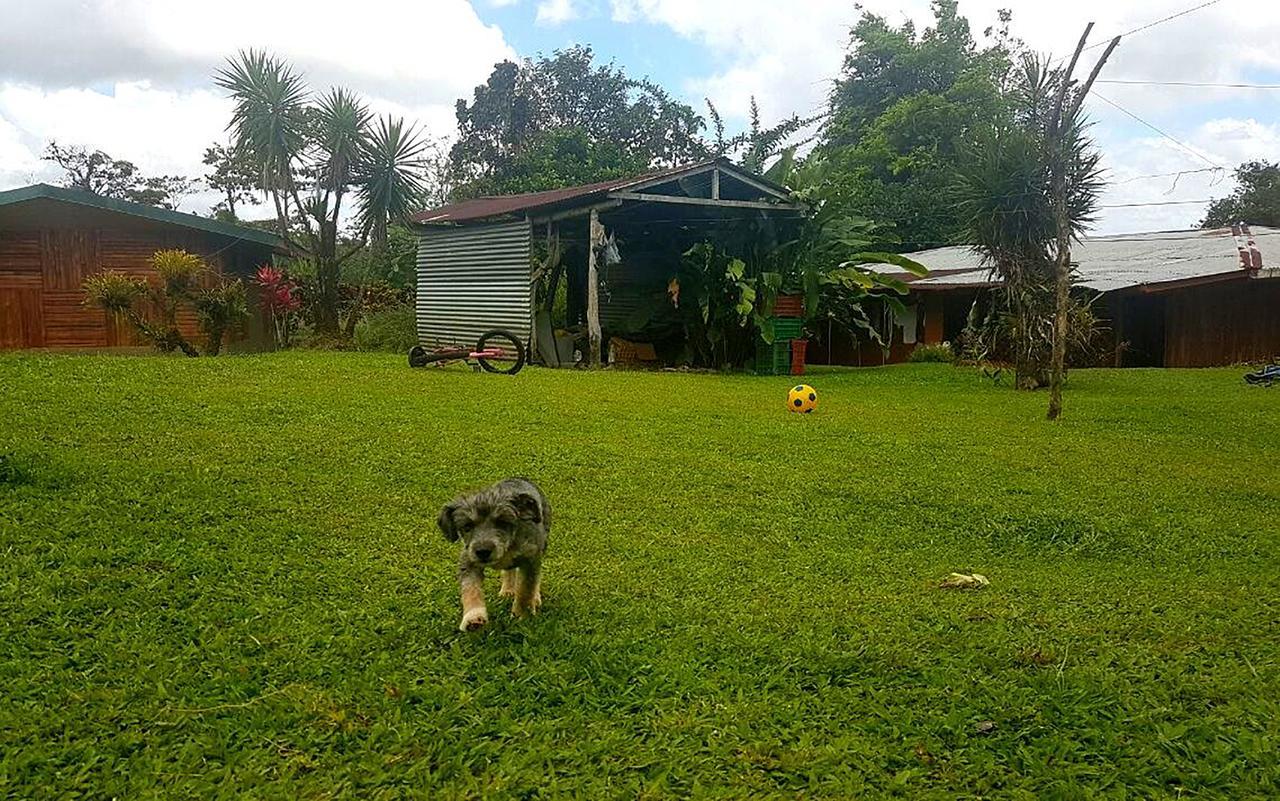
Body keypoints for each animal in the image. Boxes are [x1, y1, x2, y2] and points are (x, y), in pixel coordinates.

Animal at [437, 473, 547, 629]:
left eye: (502, 522)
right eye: (467, 526)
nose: (483, 551)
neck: (507, 547)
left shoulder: (531, 558)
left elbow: (526, 588)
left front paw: (521, 615)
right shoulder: (468, 560)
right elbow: (470, 588)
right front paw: (473, 617)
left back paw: (535, 598)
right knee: (509, 571)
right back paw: (507, 590)